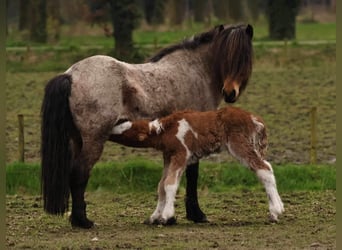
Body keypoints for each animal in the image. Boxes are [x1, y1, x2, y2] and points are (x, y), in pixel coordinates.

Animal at [40, 23, 254, 229]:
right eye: (228, 57)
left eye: (244, 58)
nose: (230, 92)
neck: (195, 70)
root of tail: (71, 75)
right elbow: (192, 174)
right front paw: (196, 214)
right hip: (94, 141)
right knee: (79, 174)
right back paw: (83, 221)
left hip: (77, 141)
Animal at [111, 106, 284, 225]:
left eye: (124, 128)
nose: (109, 127)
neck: (166, 130)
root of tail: (257, 120)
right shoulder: (168, 155)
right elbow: (161, 185)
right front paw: (154, 217)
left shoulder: (181, 154)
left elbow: (170, 184)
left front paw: (166, 216)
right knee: (267, 167)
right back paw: (276, 212)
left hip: (239, 144)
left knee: (264, 169)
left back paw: (275, 211)